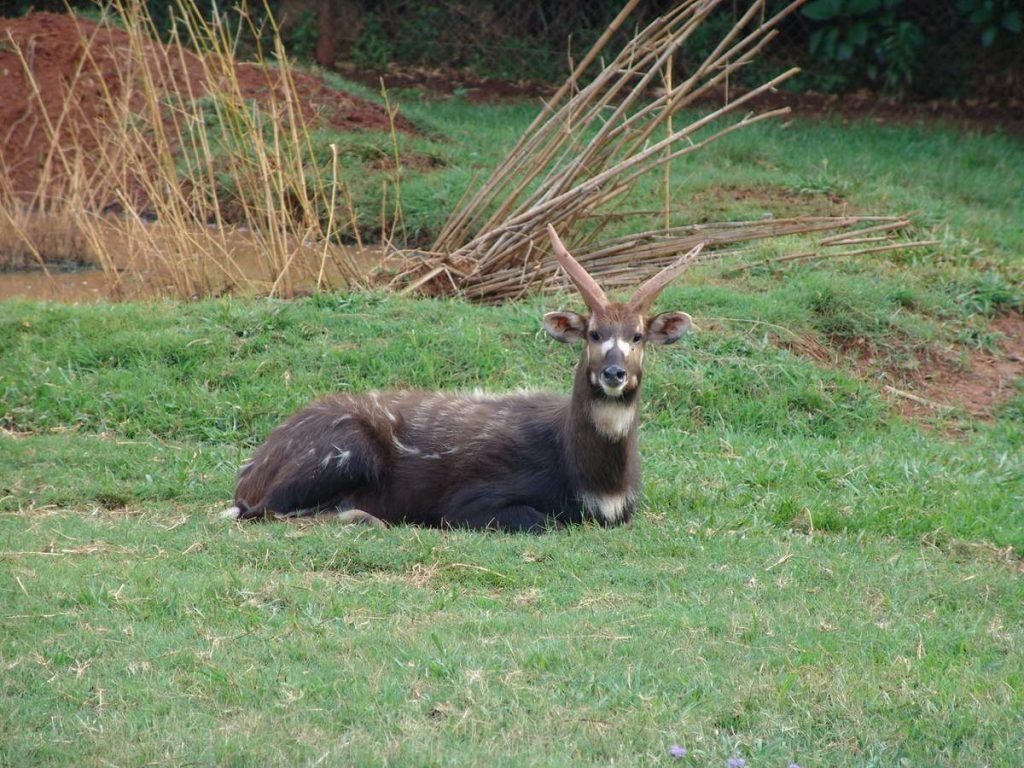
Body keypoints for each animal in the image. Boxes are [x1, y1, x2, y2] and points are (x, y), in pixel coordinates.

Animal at [228, 225, 700, 532]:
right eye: (594, 333)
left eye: (637, 335)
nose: (613, 373)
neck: (594, 480)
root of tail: (251, 471)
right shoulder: (470, 502)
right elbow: (541, 521)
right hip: (345, 450)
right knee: (267, 510)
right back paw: (360, 516)